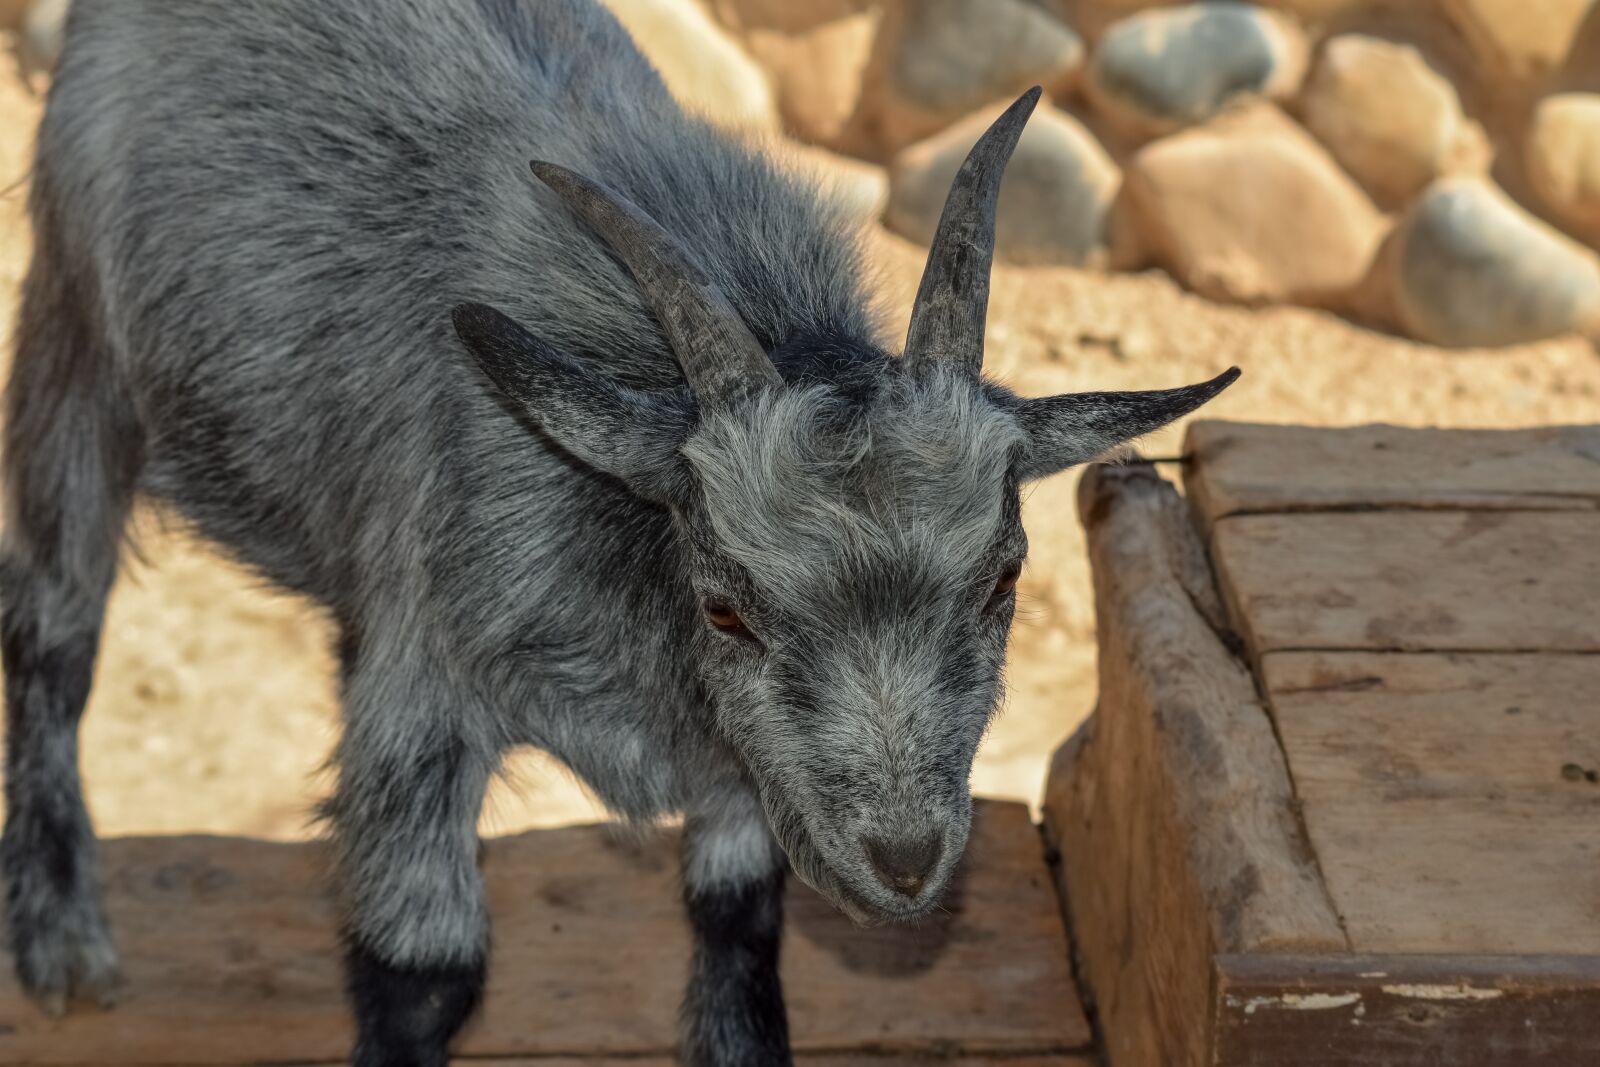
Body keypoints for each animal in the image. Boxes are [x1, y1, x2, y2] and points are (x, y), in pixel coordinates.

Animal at [0, 0, 1236, 1063]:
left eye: (1002, 577)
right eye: (726, 608)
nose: (903, 861)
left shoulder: (741, 762)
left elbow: (736, 912)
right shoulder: (428, 696)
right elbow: (424, 970)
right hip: (74, 337)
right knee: (52, 627)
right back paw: (57, 932)